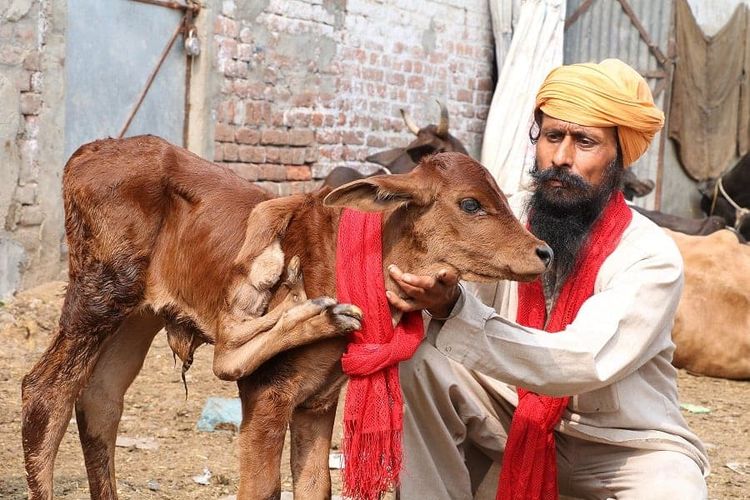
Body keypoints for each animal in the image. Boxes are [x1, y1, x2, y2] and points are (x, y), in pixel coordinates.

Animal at [23, 135, 552, 498]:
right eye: (471, 203)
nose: (543, 252)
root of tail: (89, 151)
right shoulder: (267, 391)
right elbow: (262, 488)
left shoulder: (318, 402)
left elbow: (315, 485)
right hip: (101, 292)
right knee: (46, 392)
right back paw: (308, 311)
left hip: (138, 315)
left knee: (99, 398)